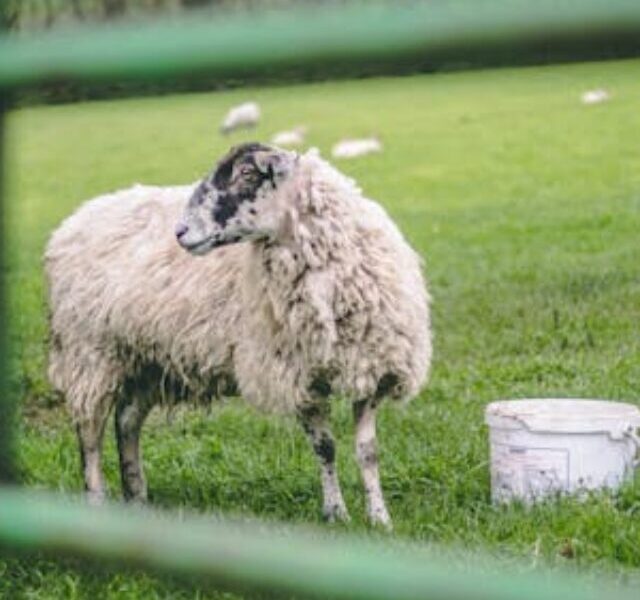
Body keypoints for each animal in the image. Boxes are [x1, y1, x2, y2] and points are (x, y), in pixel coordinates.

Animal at [46, 143, 430, 528]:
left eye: (247, 174)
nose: (180, 231)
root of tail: (75, 220)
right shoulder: (296, 376)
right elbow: (326, 447)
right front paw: (336, 513)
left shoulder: (370, 368)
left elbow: (368, 452)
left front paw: (379, 518)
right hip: (91, 355)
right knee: (90, 434)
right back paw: (97, 502)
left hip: (145, 358)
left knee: (126, 420)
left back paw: (137, 497)